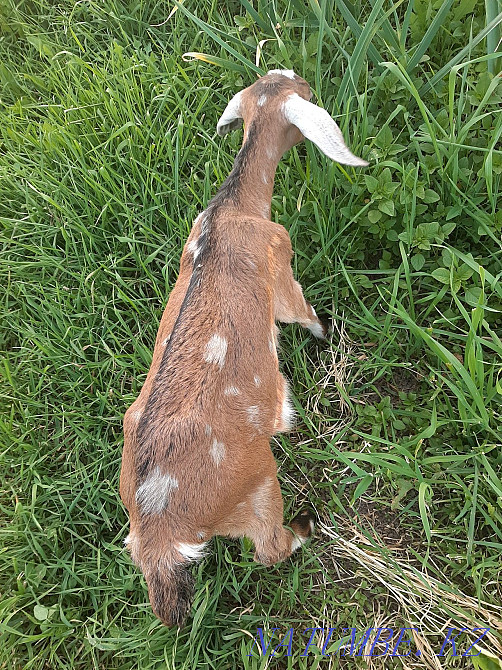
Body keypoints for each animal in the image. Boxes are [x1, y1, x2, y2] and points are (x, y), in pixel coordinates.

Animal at [120, 69, 367, 627]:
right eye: (304, 94)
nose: (312, 83)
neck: (234, 209)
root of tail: (159, 534)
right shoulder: (280, 263)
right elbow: (302, 313)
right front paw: (329, 334)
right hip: (257, 482)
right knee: (270, 549)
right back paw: (306, 526)